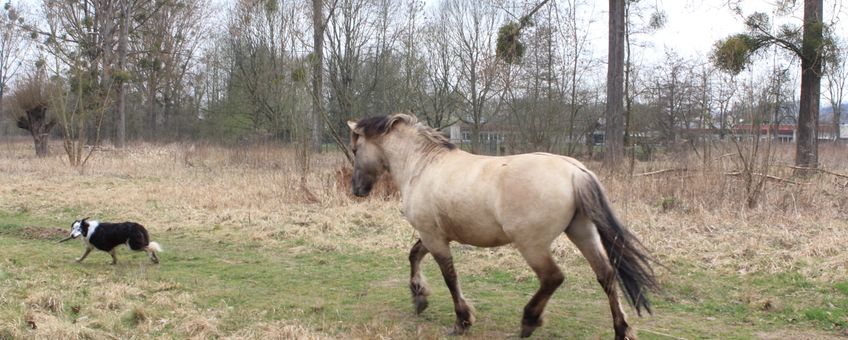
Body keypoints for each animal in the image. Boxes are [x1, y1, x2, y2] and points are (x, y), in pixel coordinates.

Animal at [348, 113, 660, 338]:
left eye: (355, 148)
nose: (356, 189)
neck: (422, 166)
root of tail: (576, 172)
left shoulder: (434, 237)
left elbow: (449, 277)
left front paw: (461, 321)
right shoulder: (432, 235)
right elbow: (414, 255)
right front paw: (420, 298)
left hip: (532, 245)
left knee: (553, 278)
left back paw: (529, 321)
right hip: (581, 232)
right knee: (606, 275)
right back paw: (621, 330)